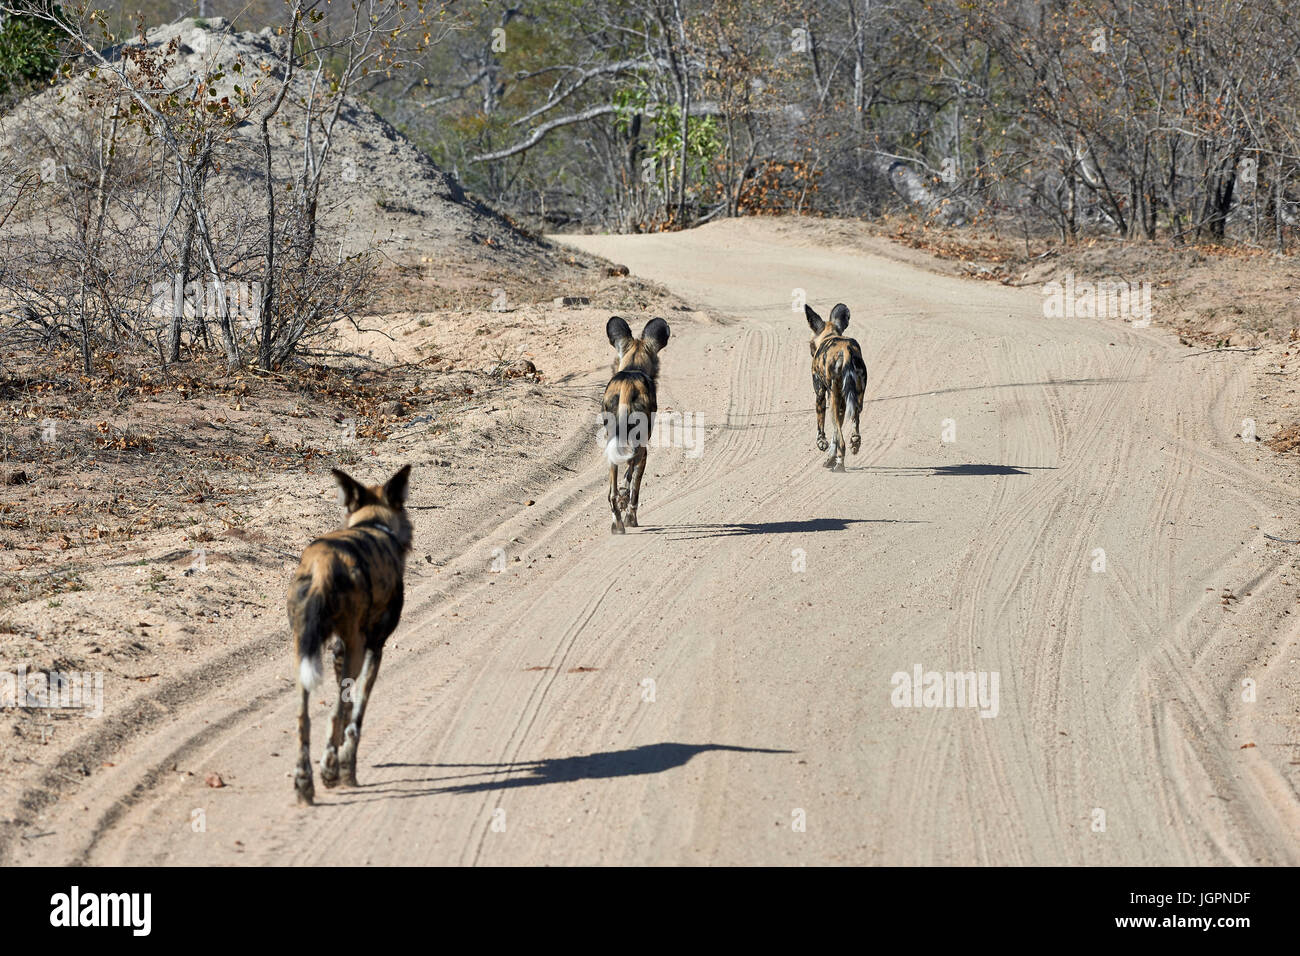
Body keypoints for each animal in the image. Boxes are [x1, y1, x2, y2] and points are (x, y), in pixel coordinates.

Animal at [288, 468, 410, 806]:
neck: (373, 524)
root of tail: (322, 565)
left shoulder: (338, 651)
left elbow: (346, 712)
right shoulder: (373, 649)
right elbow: (355, 717)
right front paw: (347, 767)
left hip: (304, 651)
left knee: (304, 718)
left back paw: (304, 783)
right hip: (356, 649)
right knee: (334, 714)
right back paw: (330, 771)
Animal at [603, 317, 670, 535]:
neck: (633, 367)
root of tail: (628, 383)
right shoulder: (644, 453)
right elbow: (634, 487)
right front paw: (631, 517)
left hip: (611, 445)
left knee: (612, 493)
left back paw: (617, 525)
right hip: (639, 447)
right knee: (629, 483)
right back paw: (627, 516)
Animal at [806, 303, 868, 470]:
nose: (811, 352)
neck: (829, 335)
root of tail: (846, 350)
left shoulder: (821, 395)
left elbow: (822, 427)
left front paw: (822, 444)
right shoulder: (841, 403)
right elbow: (835, 433)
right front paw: (830, 458)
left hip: (832, 400)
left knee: (842, 440)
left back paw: (840, 465)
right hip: (856, 400)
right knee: (854, 427)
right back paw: (854, 443)